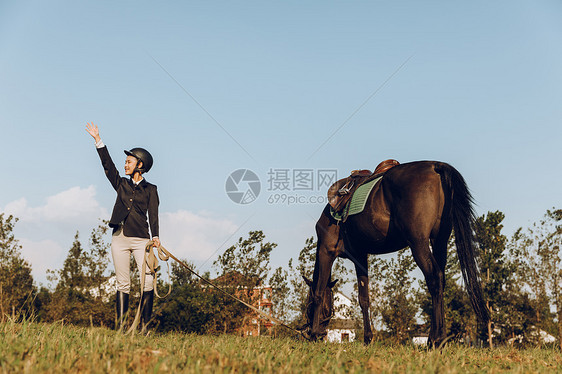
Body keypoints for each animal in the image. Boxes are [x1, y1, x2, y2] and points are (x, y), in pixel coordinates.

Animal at [302, 161, 486, 348]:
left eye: (306, 305)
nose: (309, 330)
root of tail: (435, 166)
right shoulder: (359, 256)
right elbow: (363, 298)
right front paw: (368, 338)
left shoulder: (325, 251)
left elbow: (319, 292)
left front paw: (314, 333)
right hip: (439, 241)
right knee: (440, 280)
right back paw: (437, 338)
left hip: (418, 243)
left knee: (434, 278)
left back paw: (435, 340)